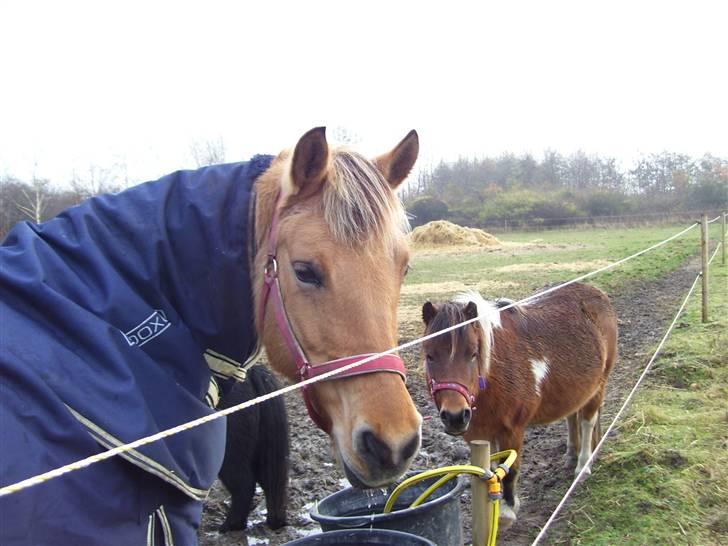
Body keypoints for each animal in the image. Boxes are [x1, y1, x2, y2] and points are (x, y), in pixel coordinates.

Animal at [424, 282, 616, 520]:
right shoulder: (479, 434)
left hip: (599, 385)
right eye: (429, 356)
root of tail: (597, 292)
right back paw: (572, 455)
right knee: (572, 417)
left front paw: (507, 509)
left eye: (473, 353)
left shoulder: (512, 430)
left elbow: (510, 470)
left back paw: (583, 466)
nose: (455, 417)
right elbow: (489, 471)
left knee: (587, 422)